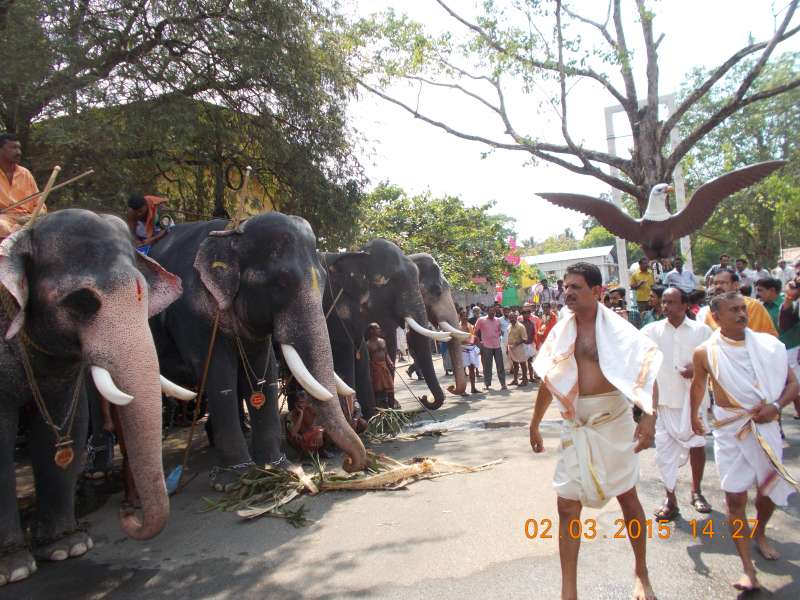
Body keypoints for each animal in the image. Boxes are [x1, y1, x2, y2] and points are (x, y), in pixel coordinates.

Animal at [0, 209, 186, 584]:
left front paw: (66, 548)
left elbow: (67, 425)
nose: (128, 518)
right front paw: (15, 570)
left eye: (143, 295)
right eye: (82, 302)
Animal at [148, 213, 368, 490]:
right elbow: (219, 374)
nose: (348, 465)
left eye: (323, 281)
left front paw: (278, 469)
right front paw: (234, 480)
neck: (232, 234)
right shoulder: (192, 316)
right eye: (282, 282)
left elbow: (264, 366)